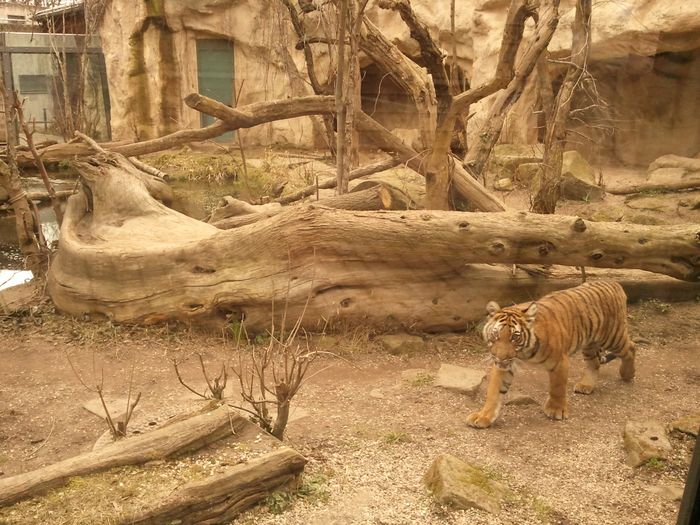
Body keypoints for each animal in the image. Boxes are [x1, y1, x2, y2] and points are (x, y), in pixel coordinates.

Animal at [468, 280, 636, 428]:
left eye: (515, 337)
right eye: (495, 334)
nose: (501, 357)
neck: (523, 353)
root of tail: (614, 283)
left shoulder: (560, 361)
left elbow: (557, 387)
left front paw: (556, 410)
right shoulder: (504, 366)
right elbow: (494, 392)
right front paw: (483, 417)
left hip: (612, 336)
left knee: (631, 347)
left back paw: (627, 374)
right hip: (589, 343)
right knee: (593, 362)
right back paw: (586, 385)